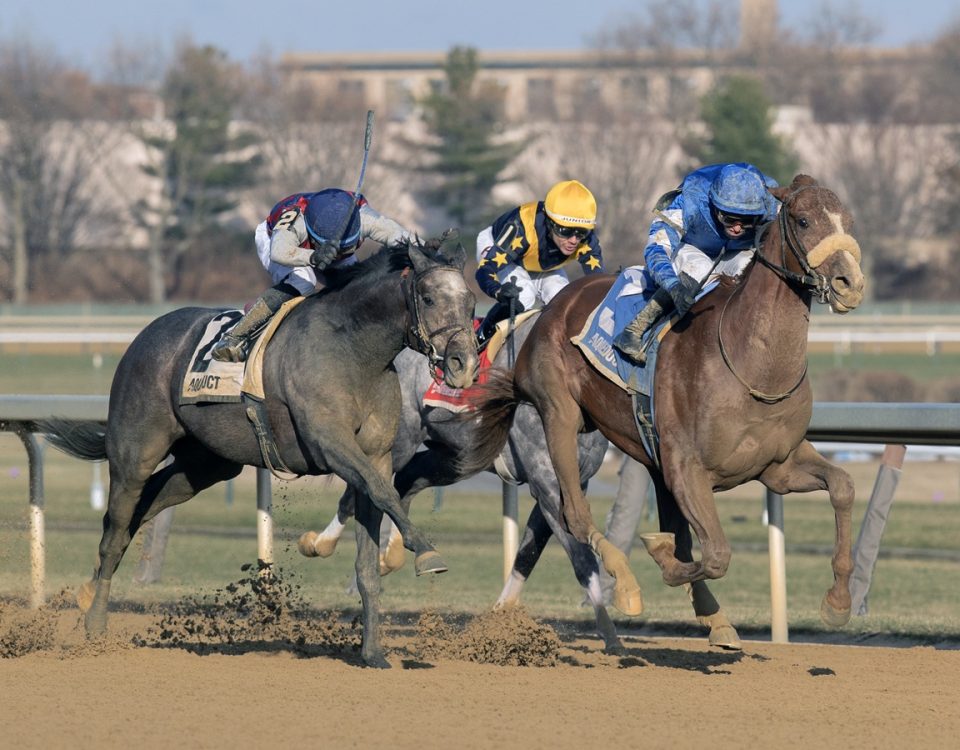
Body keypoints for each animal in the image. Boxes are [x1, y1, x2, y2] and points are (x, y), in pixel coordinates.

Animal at [40, 241, 476, 668]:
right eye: (429, 297)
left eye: (471, 302)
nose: (464, 363)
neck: (353, 349)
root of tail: (144, 335)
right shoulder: (330, 443)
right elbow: (384, 494)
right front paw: (427, 553)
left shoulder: (378, 454)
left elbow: (371, 543)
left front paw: (372, 653)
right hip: (136, 451)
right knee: (116, 528)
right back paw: (95, 623)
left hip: (206, 464)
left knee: (144, 507)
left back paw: (87, 593)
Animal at [466, 176, 872, 628]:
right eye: (802, 220)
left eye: (849, 220)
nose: (850, 284)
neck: (750, 362)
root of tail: (553, 305)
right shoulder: (687, 469)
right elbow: (712, 554)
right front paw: (659, 553)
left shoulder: (777, 466)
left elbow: (843, 486)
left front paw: (838, 601)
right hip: (558, 416)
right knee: (574, 514)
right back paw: (625, 584)